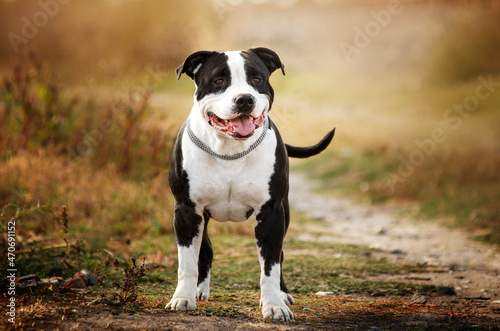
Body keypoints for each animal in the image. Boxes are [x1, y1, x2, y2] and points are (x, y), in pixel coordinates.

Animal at [166, 47, 334, 322]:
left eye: (257, 79)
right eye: (219, 81)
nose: (244, 99)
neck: (229, 151)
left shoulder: (272, 213)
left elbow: (271, 264)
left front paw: (274, 305)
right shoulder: (186, 211)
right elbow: (187, 261)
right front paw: (182, 298)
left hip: (285, 213)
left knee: (280, 255)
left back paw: (283, 293)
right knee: (205, 249)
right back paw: (199, 291)